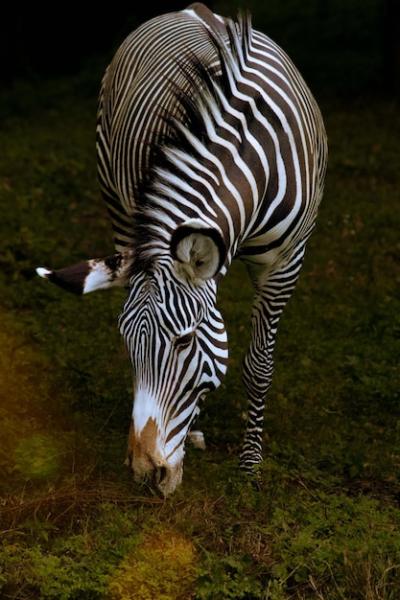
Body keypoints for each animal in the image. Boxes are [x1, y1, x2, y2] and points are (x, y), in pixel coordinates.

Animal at [36, 2, 326, 494]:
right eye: (125, 342)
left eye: (186, 340)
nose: (144, 474)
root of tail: (193, 9)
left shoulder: (286, 260)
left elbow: (258, 364)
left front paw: (250, 466)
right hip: (119, 203)